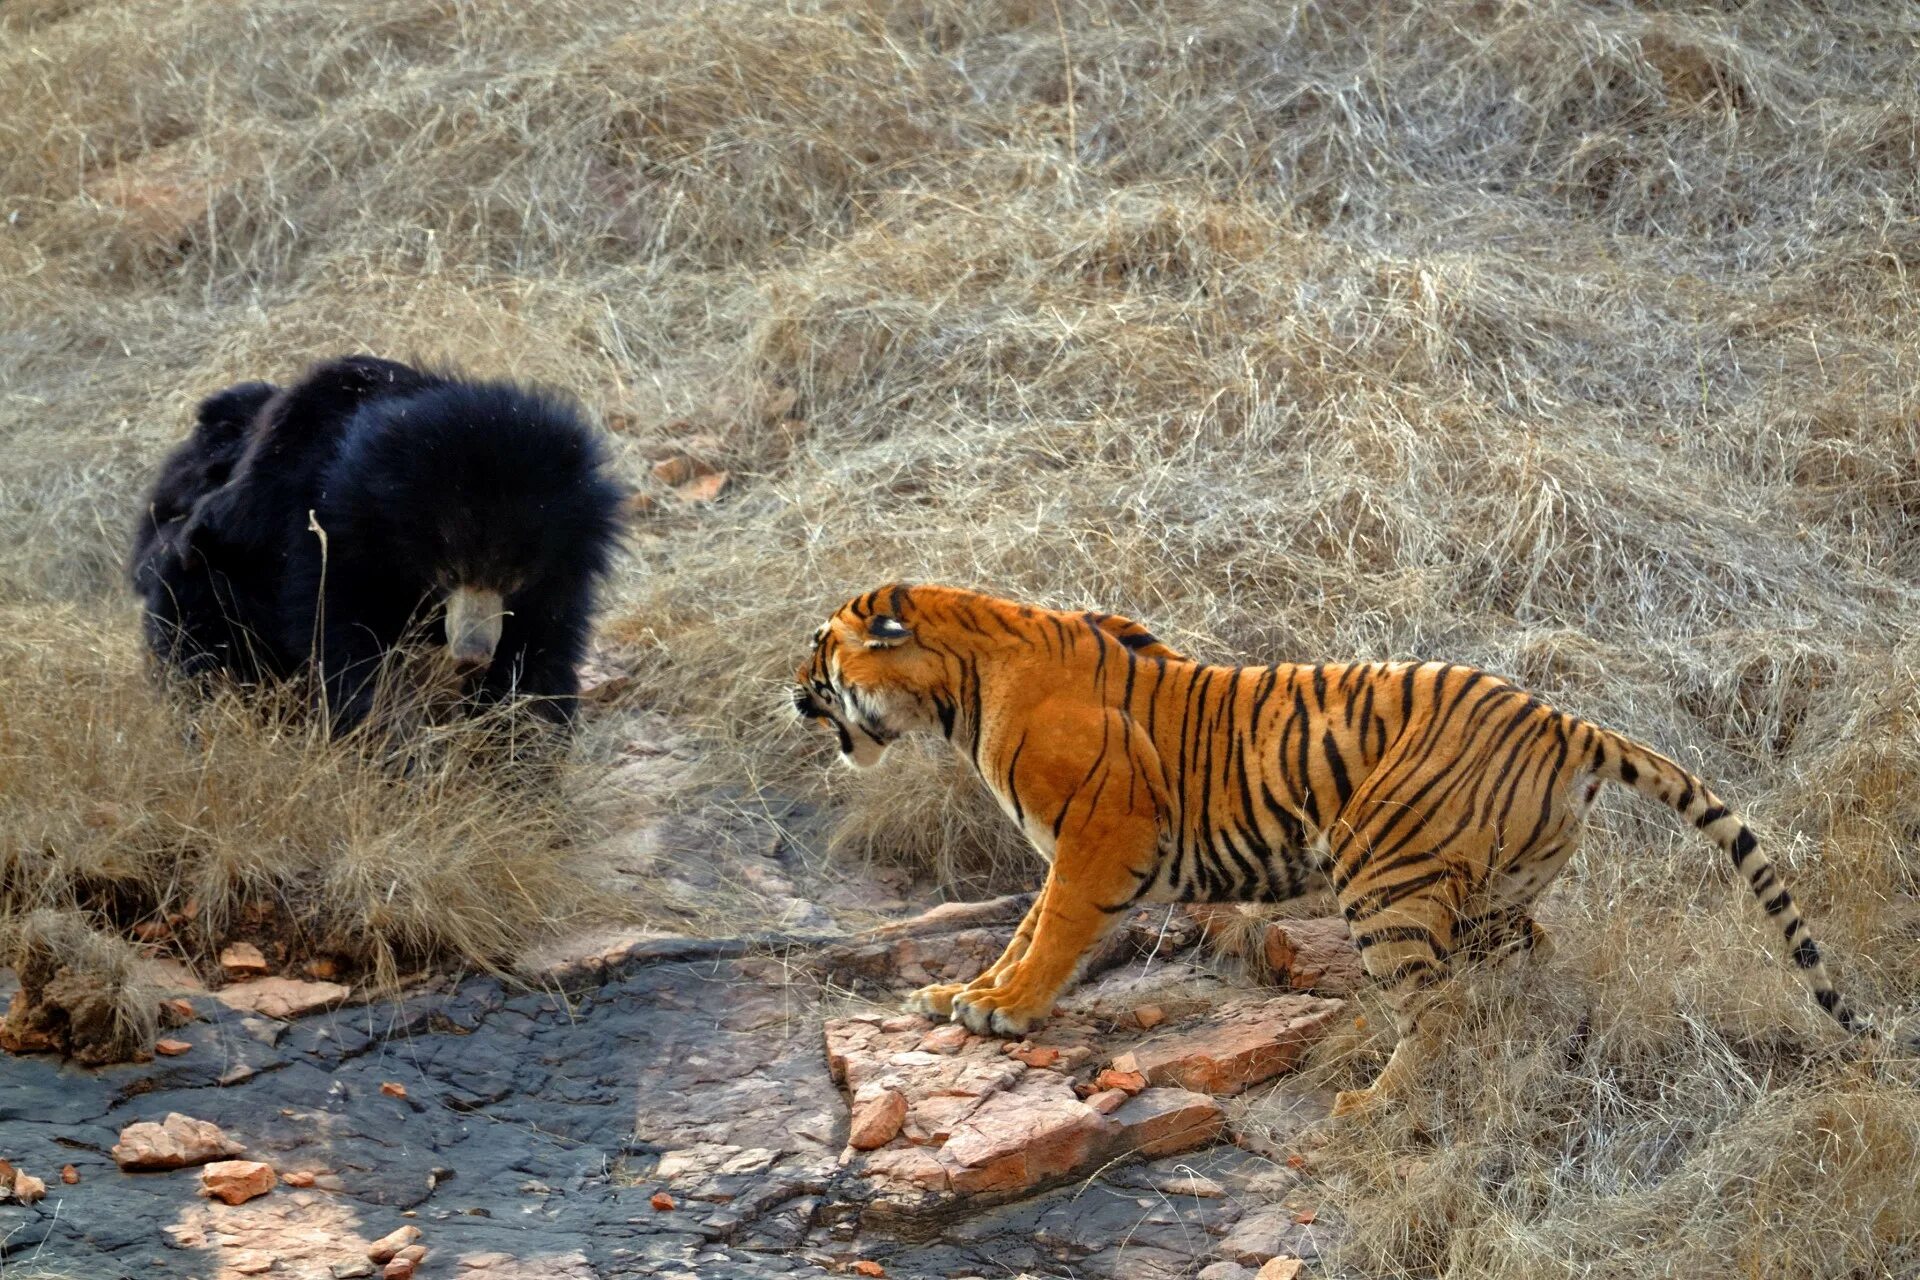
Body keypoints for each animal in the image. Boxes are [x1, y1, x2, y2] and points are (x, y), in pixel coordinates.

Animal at [135, 355, 629, 736]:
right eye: (449, 571)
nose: (473, 656)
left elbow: (539, 654)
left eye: (514, 578)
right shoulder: (327, 541)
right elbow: (348, 646)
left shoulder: (560, 577)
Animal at [791, 587, 1873, 1113]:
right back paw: (1535, 1052)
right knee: (1526, 969)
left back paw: (1371, 1104)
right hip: (1491, 893)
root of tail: (1563, 720)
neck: (958, 691)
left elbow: (1050, 932)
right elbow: (1022, 931)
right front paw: (961, 995)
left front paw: (1001, 1010)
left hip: (1380, 872)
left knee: (1433, 1013)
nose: (792, 693)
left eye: (819, 650)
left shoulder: (1101, 840)